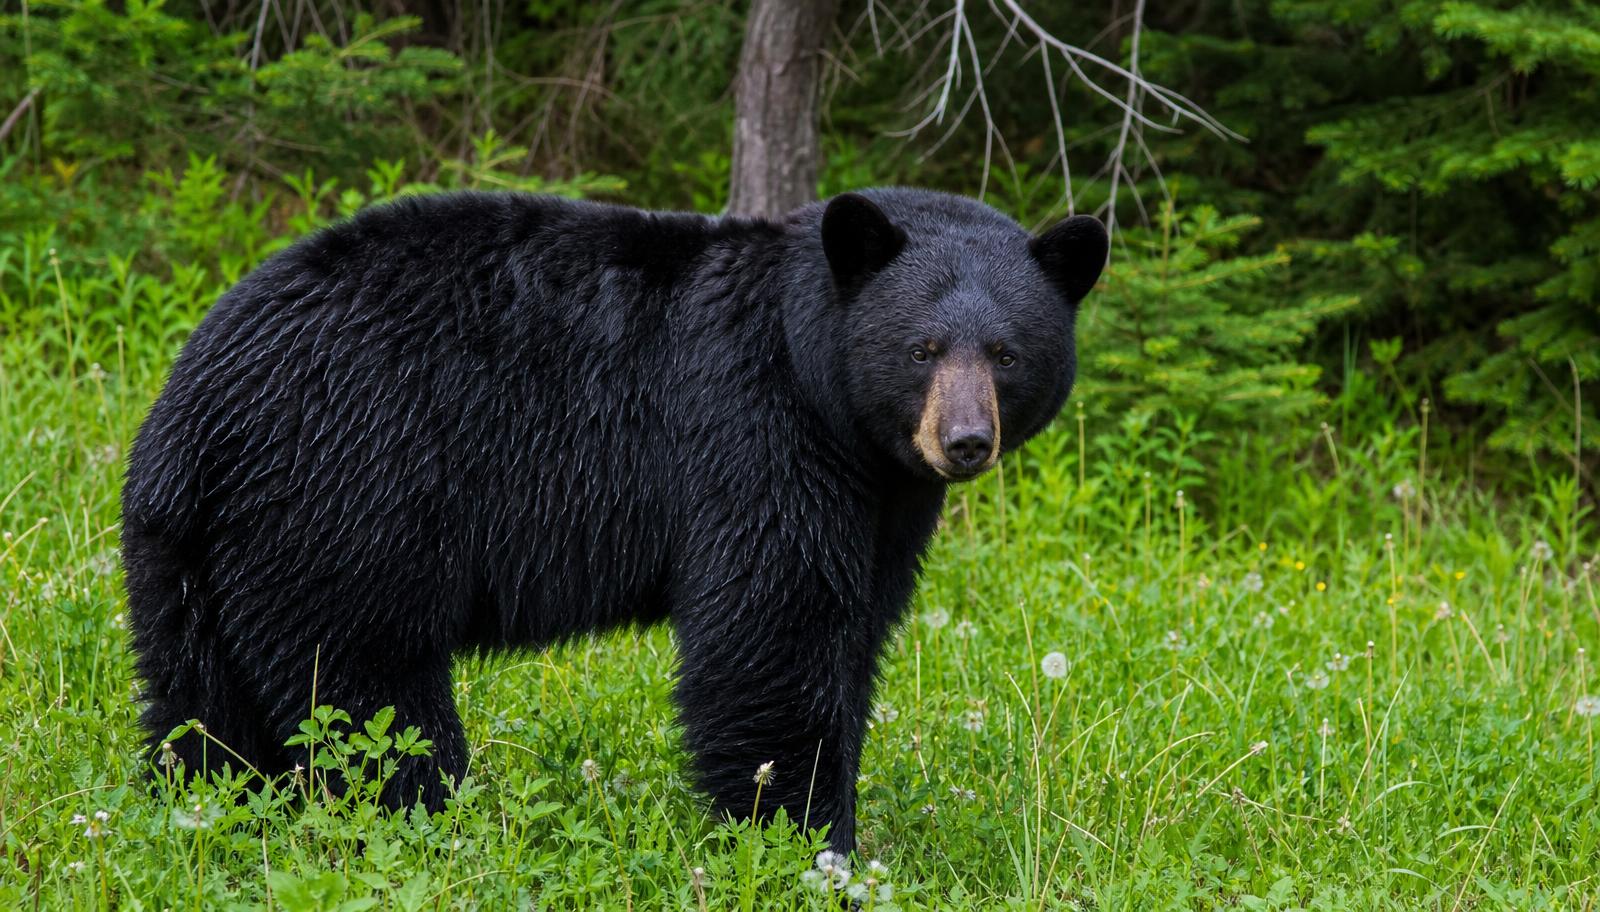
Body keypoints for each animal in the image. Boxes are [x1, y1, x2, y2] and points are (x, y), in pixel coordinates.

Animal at [121, 187, 1108, 854]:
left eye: (1007, 352)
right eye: (922, 348)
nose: (965, 441)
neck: (823, 386)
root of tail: (194, 410)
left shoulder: (884, 499)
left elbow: (857, 626)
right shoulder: (754, 436)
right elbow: (774, 634)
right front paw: (805, 837)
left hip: (201, 557)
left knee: (199, 701)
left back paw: (210, 807)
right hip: (345, 497)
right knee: (369, 694)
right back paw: (429, 820)